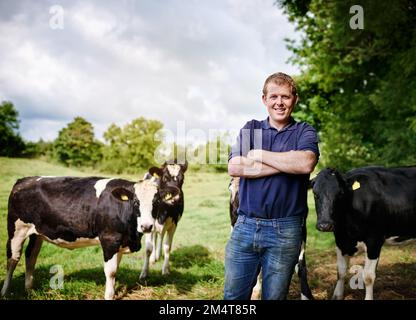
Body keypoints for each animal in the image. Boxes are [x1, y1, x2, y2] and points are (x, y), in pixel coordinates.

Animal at [1, 172, 180, 300]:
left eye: (156, 202)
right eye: (136, 202)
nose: (147, 226)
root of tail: (24, 180)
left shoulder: (120, 243)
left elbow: (116, 270)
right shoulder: (109, 240)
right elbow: (111, 272)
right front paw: (109, 296)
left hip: (37, 233)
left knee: (31, 256)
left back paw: (29, 289)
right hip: (16, 229)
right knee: (12, 259)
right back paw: (5, 291)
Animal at [310, 166, 416, 298]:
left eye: (340, 193)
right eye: (315, 193)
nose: (324, 225)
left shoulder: (374, 241)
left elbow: (368, 277)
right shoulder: (340, 241)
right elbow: (341, 271)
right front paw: (337, 295)